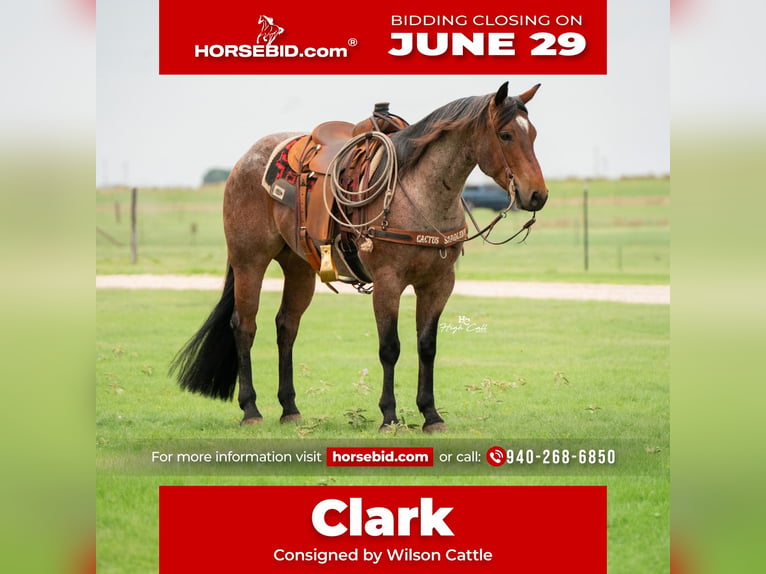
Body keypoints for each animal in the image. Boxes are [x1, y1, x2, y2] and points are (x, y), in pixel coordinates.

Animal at [170, 81, 548, 432]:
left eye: (533, 134)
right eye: (506, 135)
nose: (537, 195)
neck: (419, 194)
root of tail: (245, 160)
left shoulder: (439, 283)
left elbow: (427, 346)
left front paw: (431, 415)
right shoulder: (388, 282)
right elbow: (390, 347)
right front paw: (389, 416)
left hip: (299, 269)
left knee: (286, 326)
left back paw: (290, 409)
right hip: (250, 262)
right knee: (244, 326)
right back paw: (251, 410)